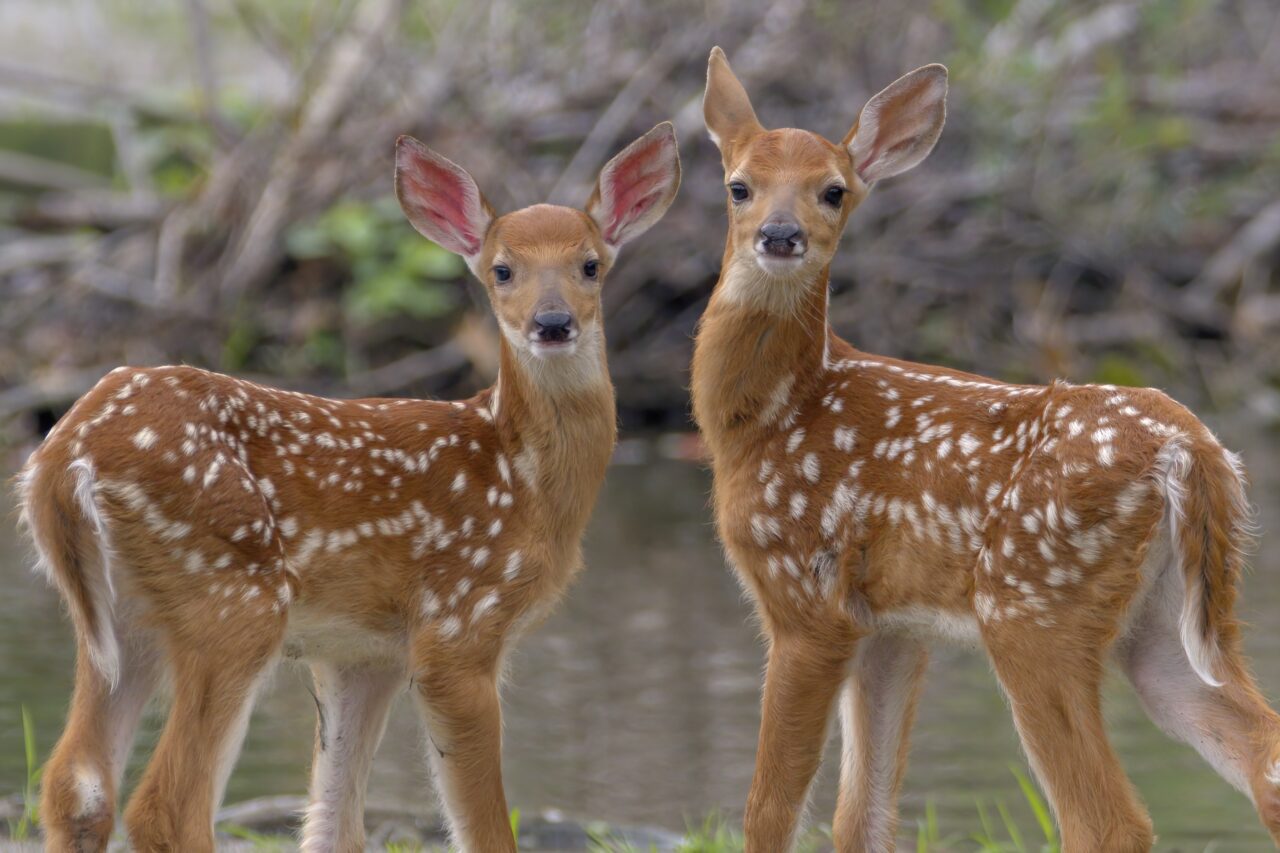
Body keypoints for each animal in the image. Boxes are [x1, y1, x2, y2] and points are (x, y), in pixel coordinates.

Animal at [16, 121, 681, 853]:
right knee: (166, 804)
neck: (523, 479)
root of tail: (64, 456)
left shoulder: (364, 652)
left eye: (591, 264)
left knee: (75, 784)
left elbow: (335, 823)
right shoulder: (459, 623)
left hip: (119, 619)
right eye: (502, 269)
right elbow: (482, 829)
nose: (554, 323)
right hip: (232, 594)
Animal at [691, 46, 1280, 852]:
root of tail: (1187, 445)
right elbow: (861, 816)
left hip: (1032, 604)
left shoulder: (804, 596)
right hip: (1167, 622)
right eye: (739, 185)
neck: (773, 414)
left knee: (1107, 819)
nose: (780, 235)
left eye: (833, 190)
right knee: (1262, 757)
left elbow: (770, 808)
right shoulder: (891, 624)